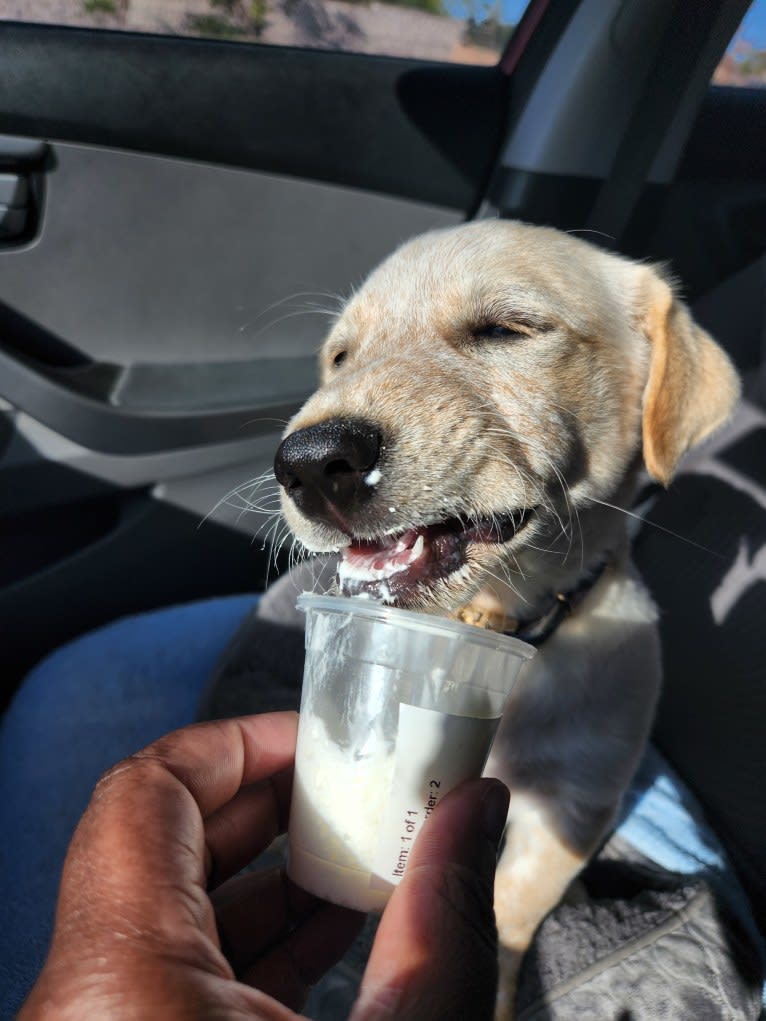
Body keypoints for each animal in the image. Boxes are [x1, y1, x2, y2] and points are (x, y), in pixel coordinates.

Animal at [273, 221, 739, 1012]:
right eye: (340, 355)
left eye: (505, 329)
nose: (309, 462)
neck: (492, 625)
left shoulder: (574, 806)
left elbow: (513, 914)